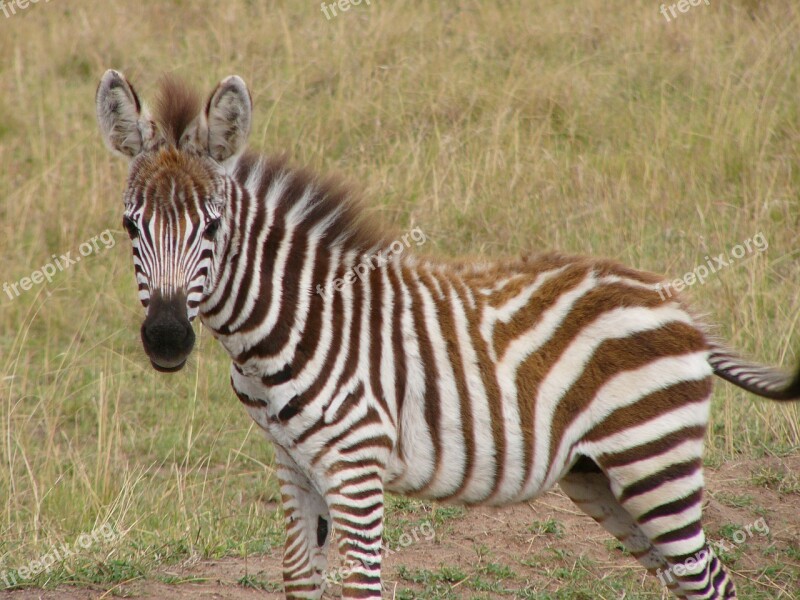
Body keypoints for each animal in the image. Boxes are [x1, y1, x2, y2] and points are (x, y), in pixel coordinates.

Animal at [97, 71, 796, 600]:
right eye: (130, 227)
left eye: (212, 227)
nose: (166, 341)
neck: (283, 330)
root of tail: (675, 300)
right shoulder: (293, 464)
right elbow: (298, 578)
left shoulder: (356, 467)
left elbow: (362, 585)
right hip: (602, 476)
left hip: (654, 459)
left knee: (709, 580)